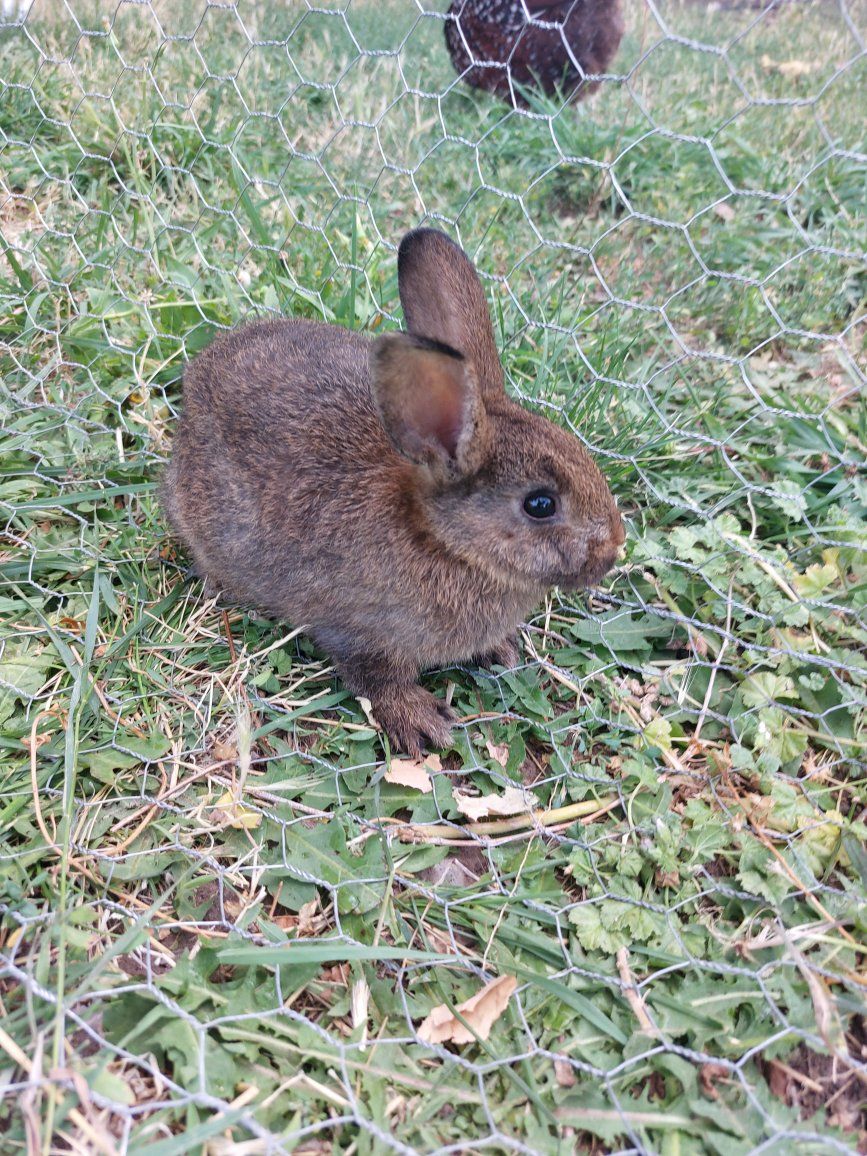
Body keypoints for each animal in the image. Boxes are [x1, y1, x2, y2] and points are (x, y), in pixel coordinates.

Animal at [163, 228, 624, 756]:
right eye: (540, 504)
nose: (613, 550)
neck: (447, 542)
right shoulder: (356, 631)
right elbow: (374, 677)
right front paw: (419, 720)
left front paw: (499, 651)